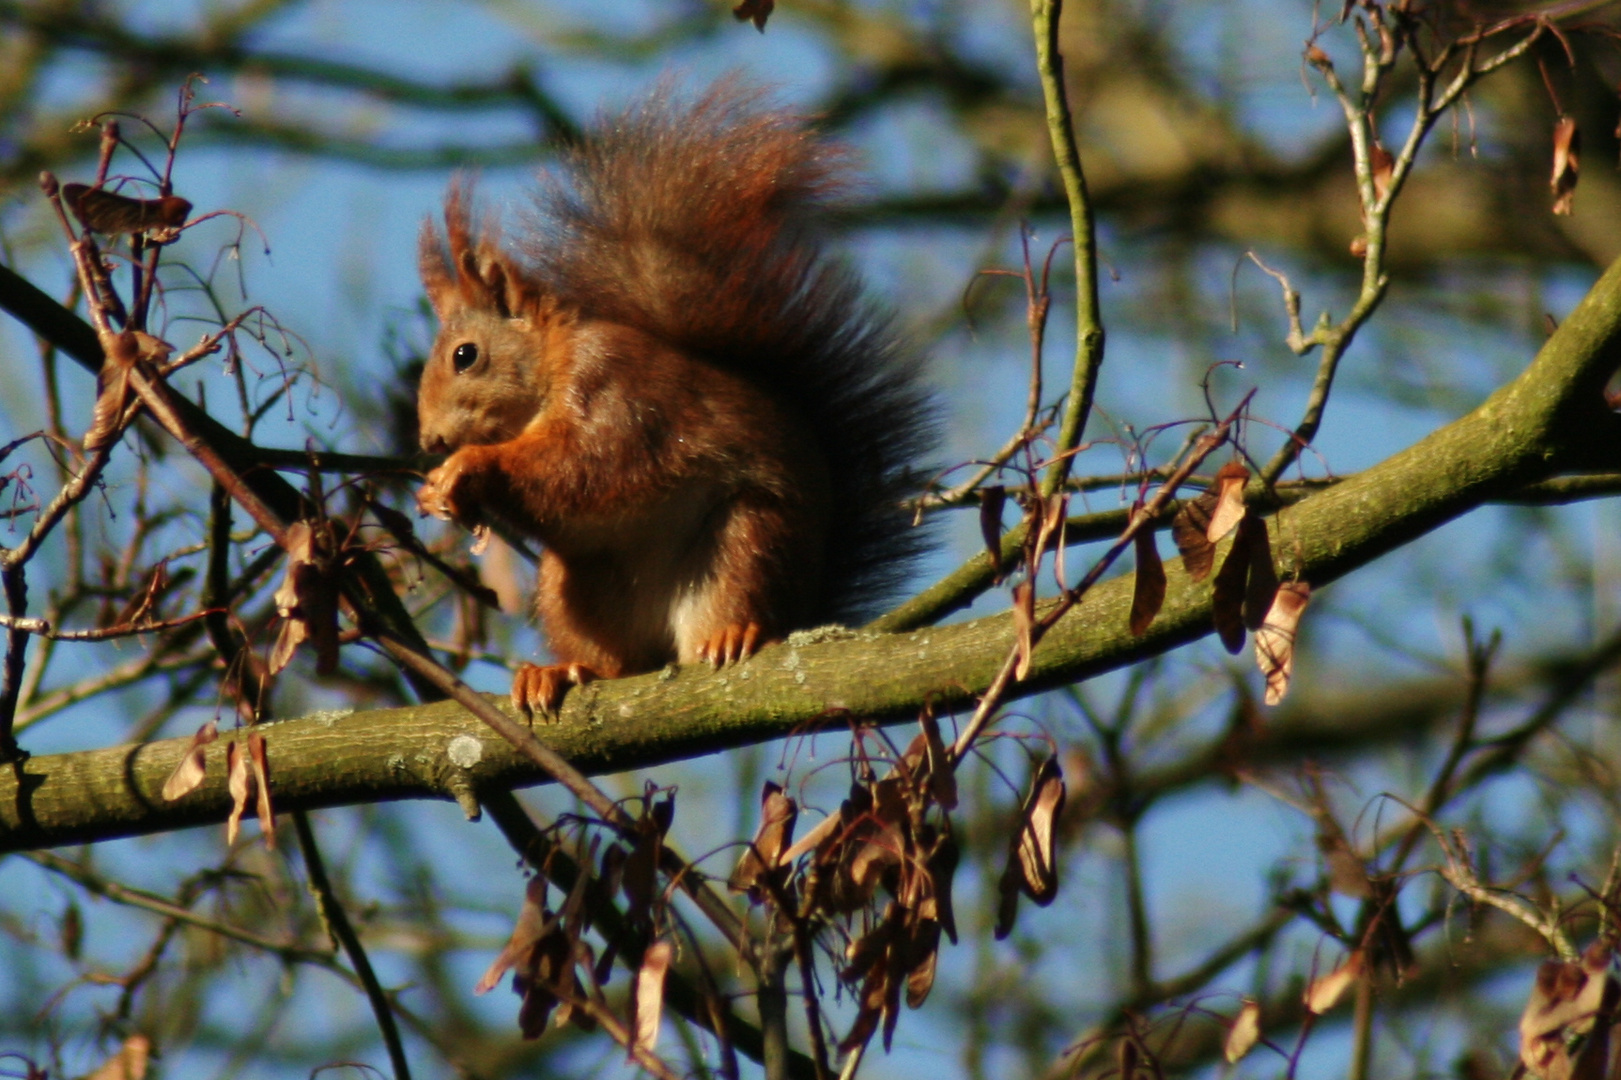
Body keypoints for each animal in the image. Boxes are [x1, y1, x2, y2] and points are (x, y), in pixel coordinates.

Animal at [411, 84, 933, 713]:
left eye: (465, 356)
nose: (430, 439)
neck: (553, 369)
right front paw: (435, 492)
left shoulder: (618, 391)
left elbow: (588, 465)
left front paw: (468, 467)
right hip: (573, 588)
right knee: (617, 662)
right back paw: (561, 672)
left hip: (748, 542)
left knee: (733, 601)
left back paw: (735, 633)